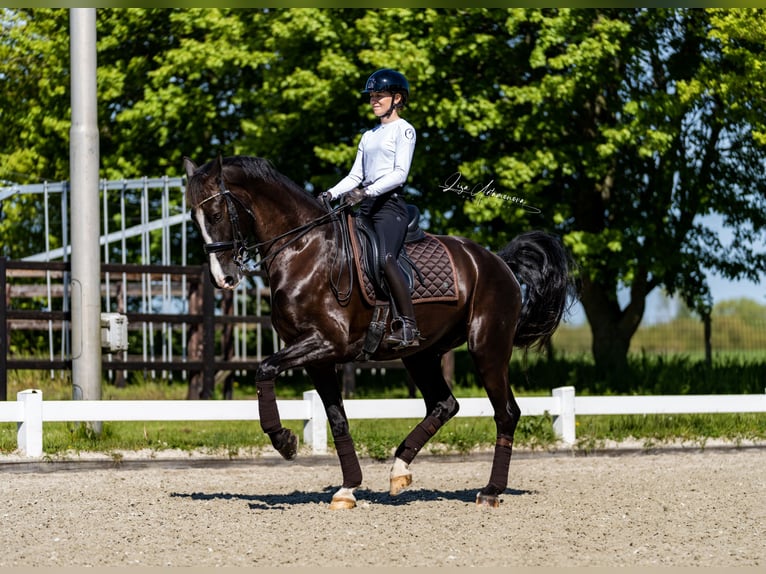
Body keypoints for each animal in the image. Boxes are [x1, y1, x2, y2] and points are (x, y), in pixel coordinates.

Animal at [182, 155, 576, 510]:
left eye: (215, 214)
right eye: (193, 218)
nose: (223, 278)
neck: (303, 250)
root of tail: (498, 262)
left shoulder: (326, 343)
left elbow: (264, 369)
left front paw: (284, 441)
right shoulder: (316, 358)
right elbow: (337, 419)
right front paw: (347, 489)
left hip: (487, 348)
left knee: (506, 413)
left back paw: (491, 491)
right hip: (421, 355)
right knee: (445, 404)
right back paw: (399, 471)